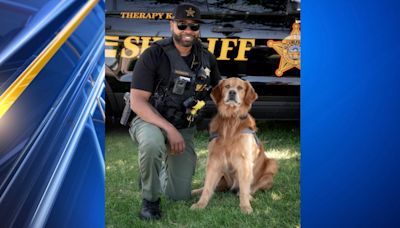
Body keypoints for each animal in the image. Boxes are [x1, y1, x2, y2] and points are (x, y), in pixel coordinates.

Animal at [191, 78, 278, 214]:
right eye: (227, 86)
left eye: (240, 88)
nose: (232, 92)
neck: (231, 120)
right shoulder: (214, 160)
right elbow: (207, 187)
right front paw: (201, 204)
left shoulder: (244, 162)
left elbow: (244, 188)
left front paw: (245, 206)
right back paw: (193, 191)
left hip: (271, 165)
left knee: (252, 188)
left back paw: (248, 196)